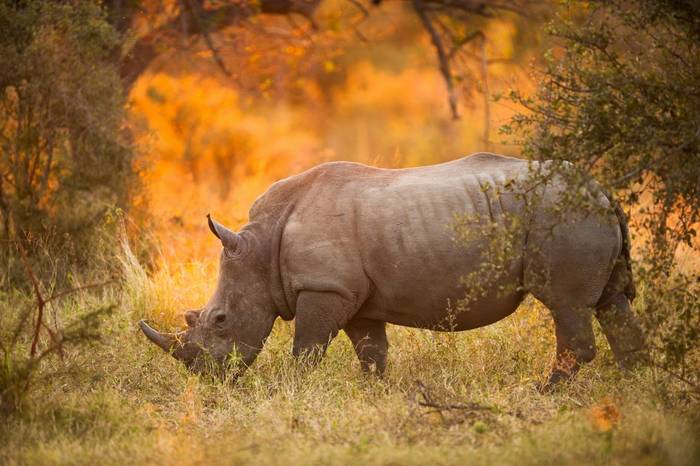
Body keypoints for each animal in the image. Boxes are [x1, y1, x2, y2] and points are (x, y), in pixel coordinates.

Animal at [140, 153, 647, 386]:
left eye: (221, 320)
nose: (208, 378)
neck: (261, 247)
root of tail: (601, 189)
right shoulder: (354, 296)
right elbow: (372, 353)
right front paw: (374, 393)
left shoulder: (324, 287)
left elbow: (307, 349)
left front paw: (294, 389)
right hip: (582, 215)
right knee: (611, 303)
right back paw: (637, 387)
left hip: (564, 218)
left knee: (567, 305)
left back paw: (546, 393)